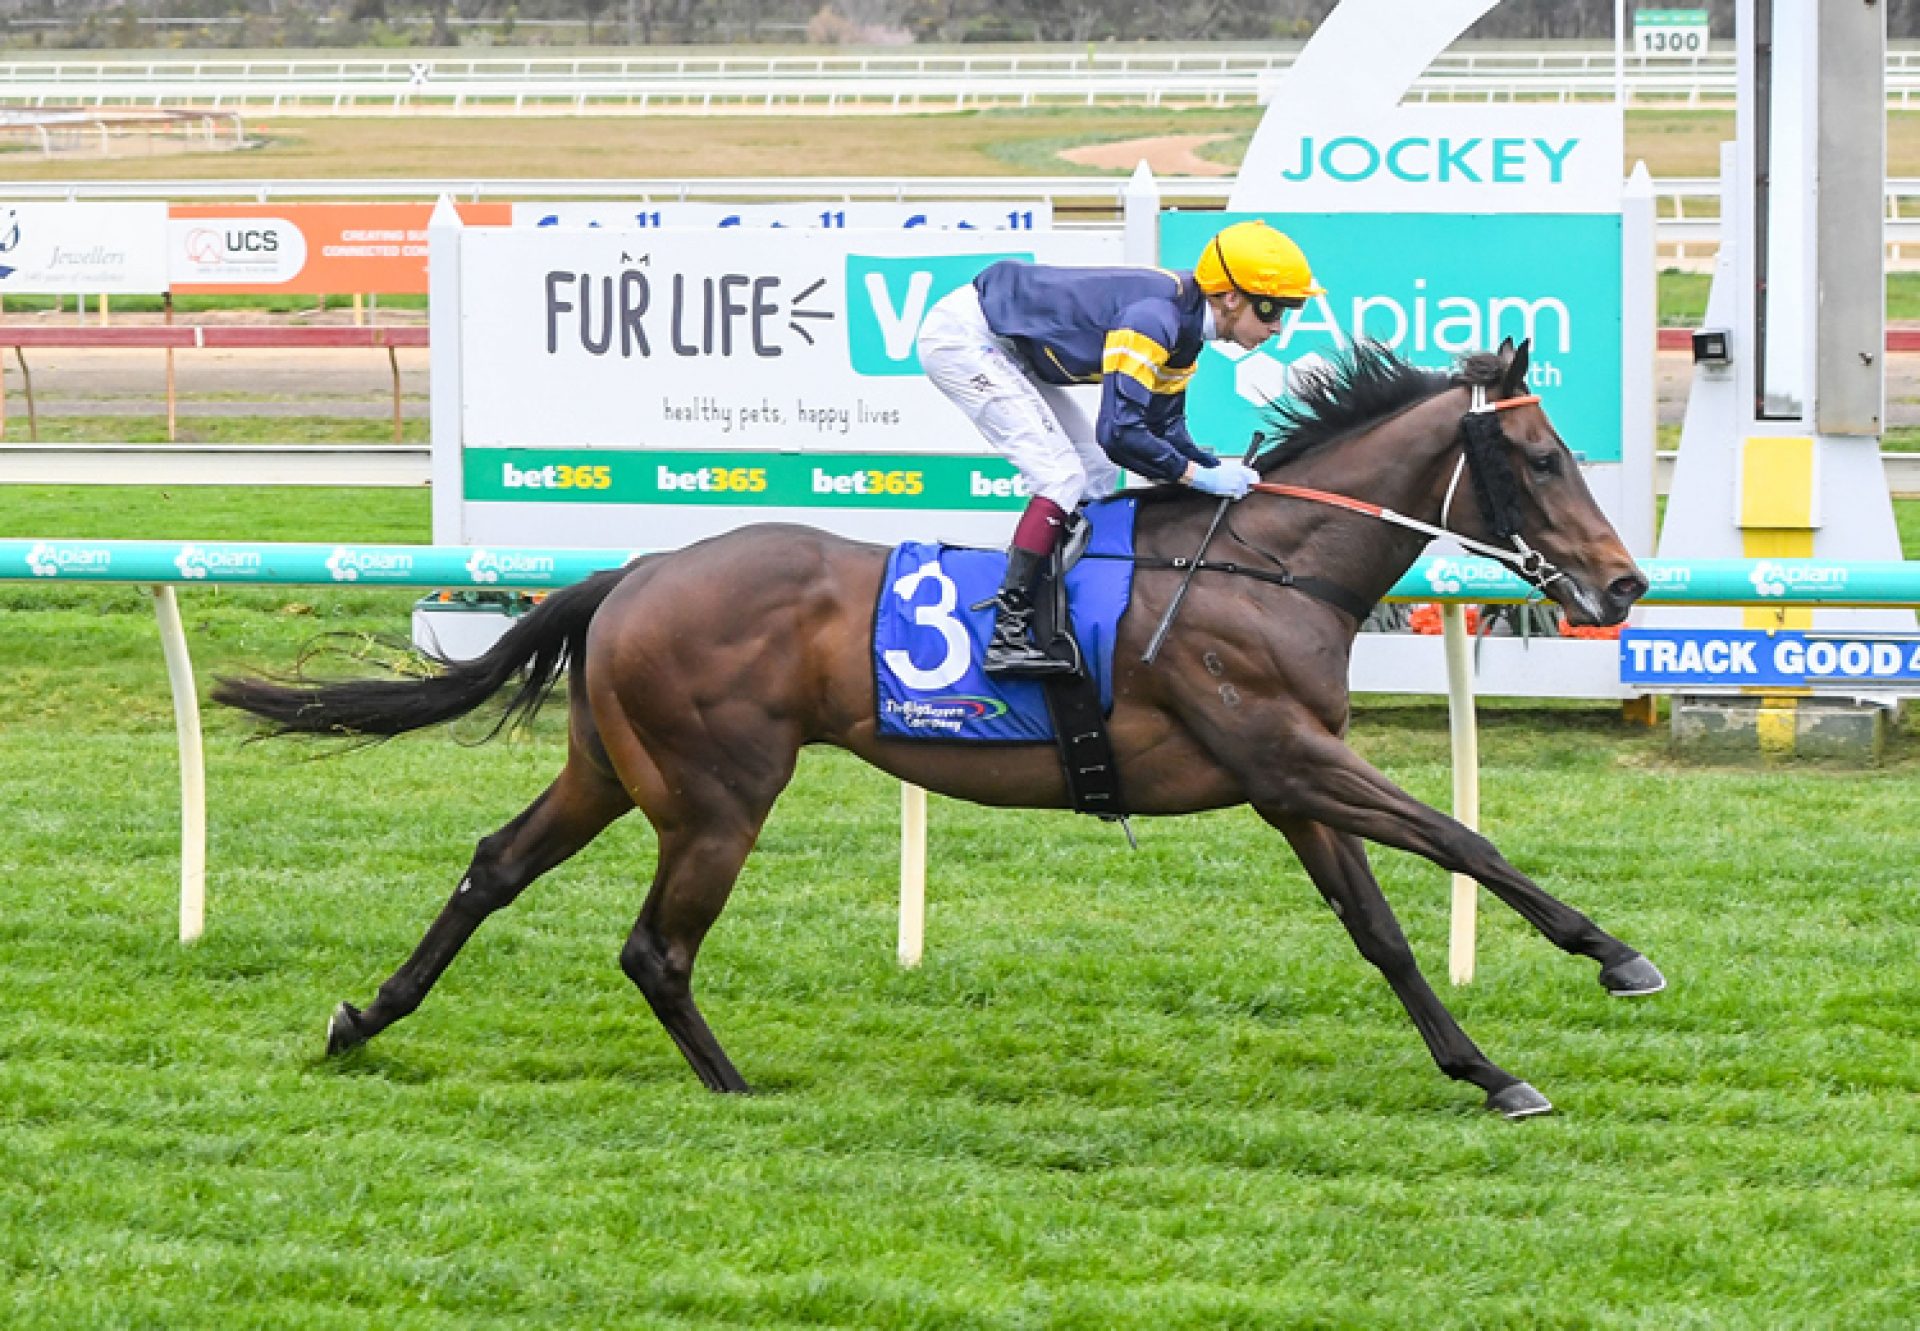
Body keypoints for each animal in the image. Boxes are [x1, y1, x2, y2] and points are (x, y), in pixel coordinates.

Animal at [217, 338, 1666, 1113]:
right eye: (1543, 458)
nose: (1625, 586)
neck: (1267, 565)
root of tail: (636, 568)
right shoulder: (1289, 751)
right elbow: (1465, 840)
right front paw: (1615, 953)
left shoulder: (1288, 779)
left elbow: (1381, 930)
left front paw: (1489, 1070)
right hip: (718, 792)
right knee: (653, 946)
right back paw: (737, 1088)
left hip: (612, 767)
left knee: (495, 865)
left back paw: (364, 1017)